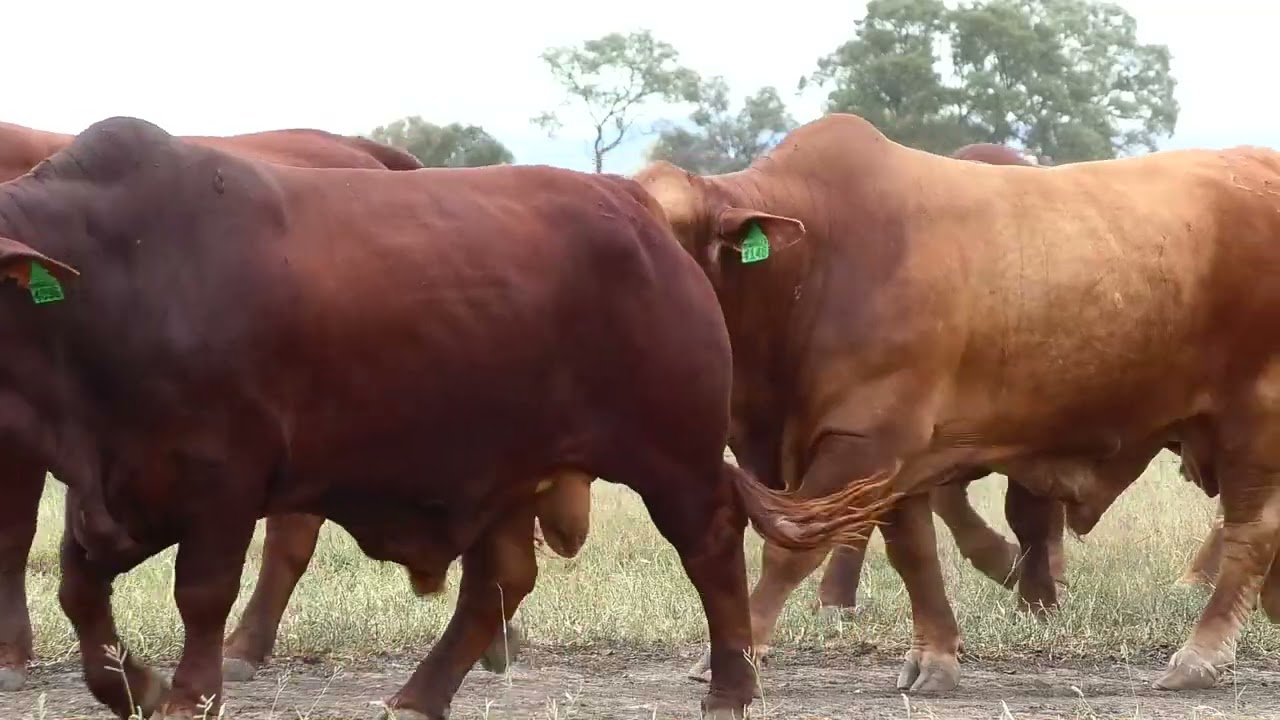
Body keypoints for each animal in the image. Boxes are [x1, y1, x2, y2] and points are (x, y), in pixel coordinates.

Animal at [635, 112, 1280, 696]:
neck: (814, 260)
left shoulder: (863, 442)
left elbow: (791, 550)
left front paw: (734, 653)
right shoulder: (895, 459)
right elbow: (914, 553)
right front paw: (936, 656)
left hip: (1254, 421)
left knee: (1250, 534)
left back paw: (1200, 656)